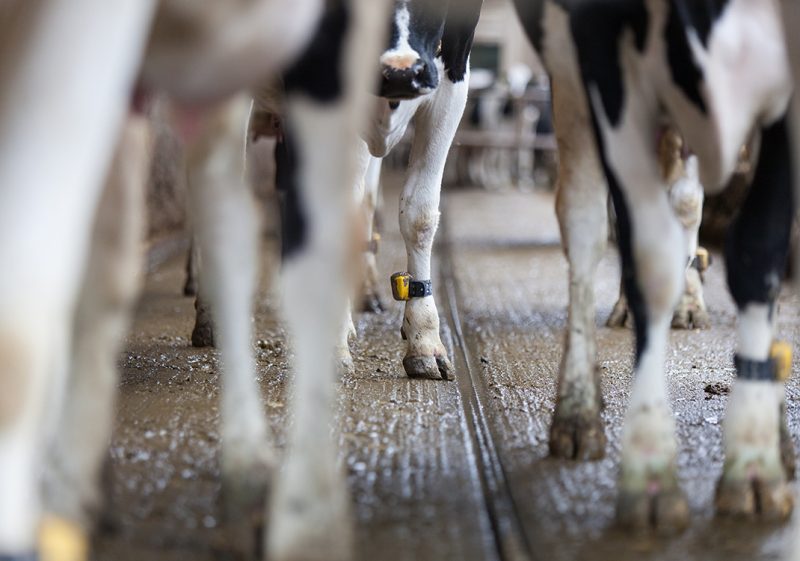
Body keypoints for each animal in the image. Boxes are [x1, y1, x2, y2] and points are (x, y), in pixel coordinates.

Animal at [512, 0, 792, 528]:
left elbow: (755, 243)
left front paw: (760, 460)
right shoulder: (604, 60)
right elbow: (646, 248)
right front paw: (651, 470)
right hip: (572, 79)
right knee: (585, 221)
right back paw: (578, 414)